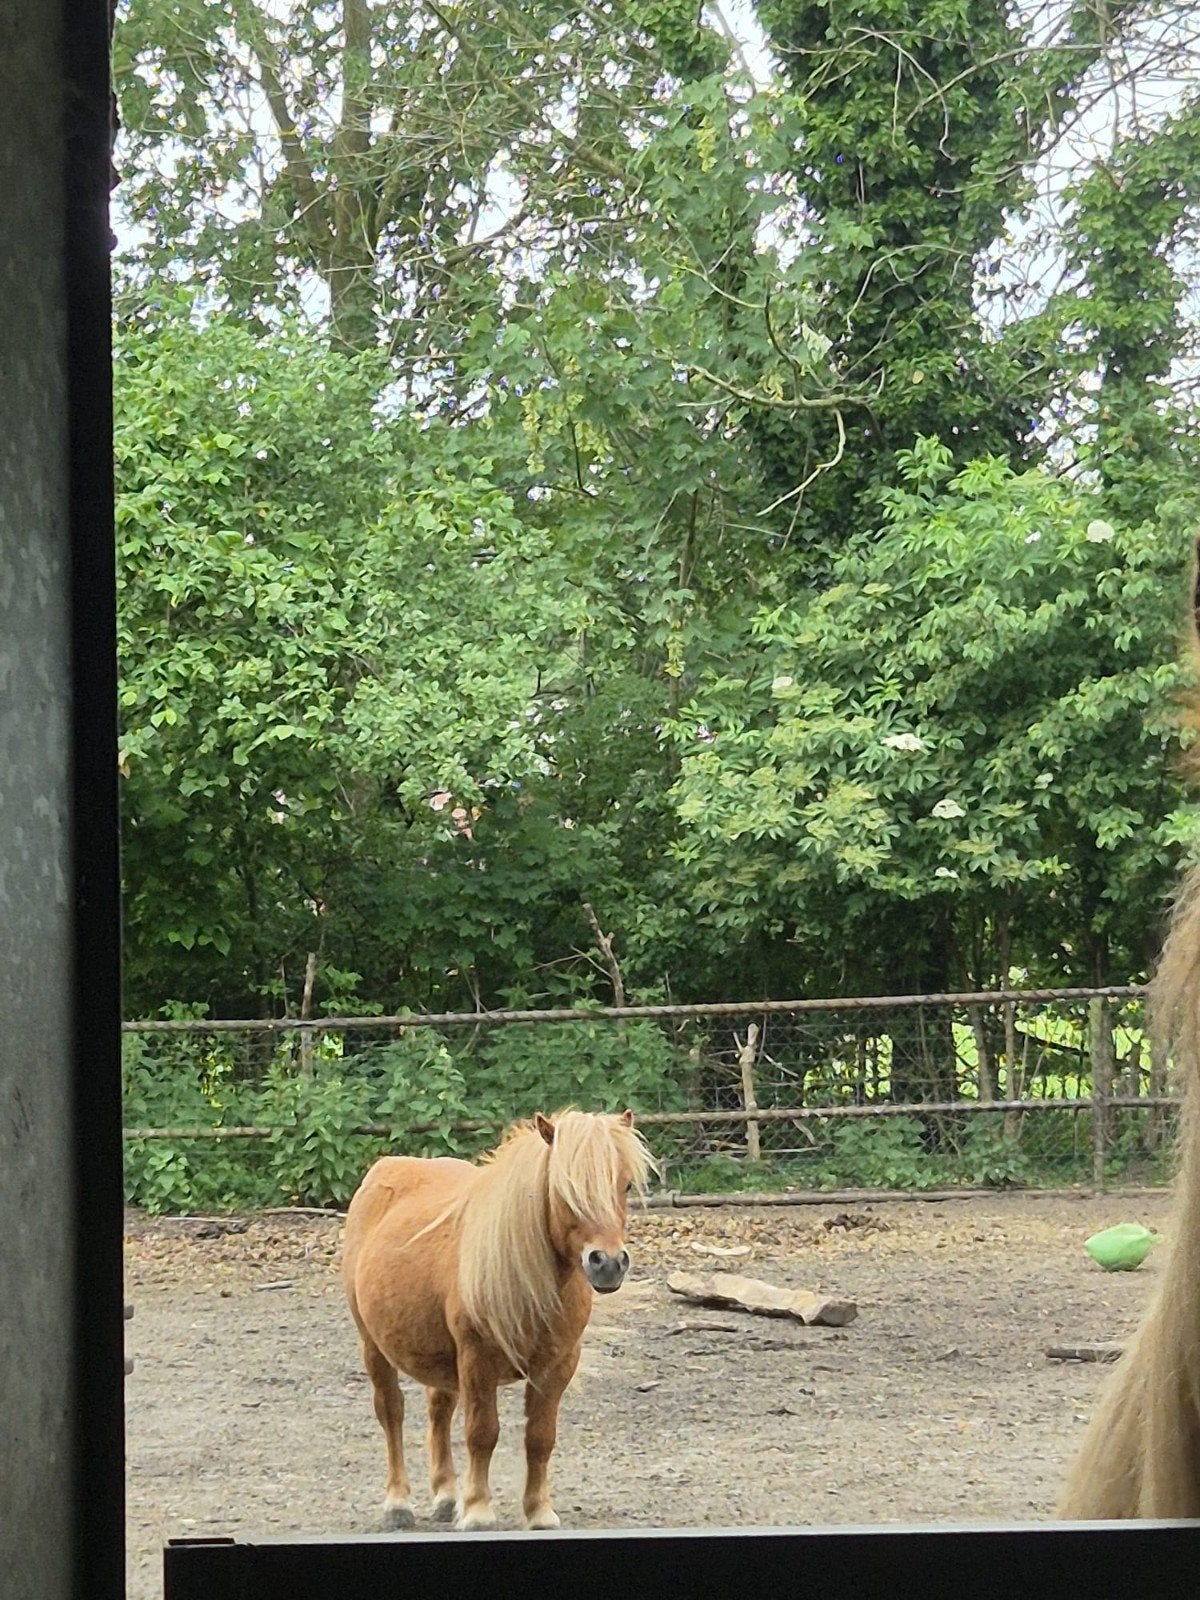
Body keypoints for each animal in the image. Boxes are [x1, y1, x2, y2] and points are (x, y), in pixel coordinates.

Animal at [341, 1107, 653, 1531]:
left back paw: (446, 1497)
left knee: (438, 1410)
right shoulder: (478, 1361)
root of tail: (385, 1169)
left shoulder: (557, 1365)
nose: (608, 1264)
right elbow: (482, 1432)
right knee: (392, 1413)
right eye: (564, 1190)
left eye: (624, 1185)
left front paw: (539, 1512)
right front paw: (477, 1510)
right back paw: (398, 1504)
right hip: (373, 1346)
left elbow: (540, 1437)